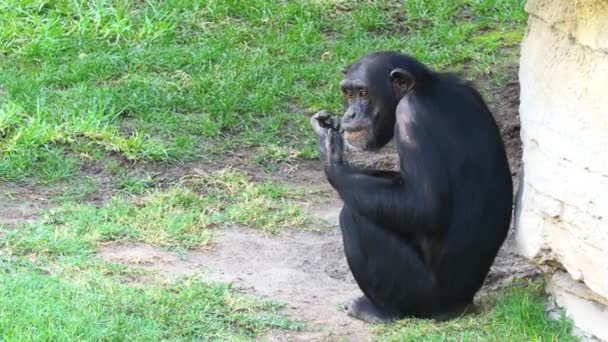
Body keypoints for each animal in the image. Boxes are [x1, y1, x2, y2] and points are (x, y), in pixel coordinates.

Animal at [314, 51, 512, 324]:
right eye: (348, 93)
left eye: (363, 93)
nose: (351, 113)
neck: (424, 86)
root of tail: (462, 305)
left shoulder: (412, 116)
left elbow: (422, 205)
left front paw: (331, 152)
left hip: (421, 296)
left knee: (354, 217)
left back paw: (379, 311)